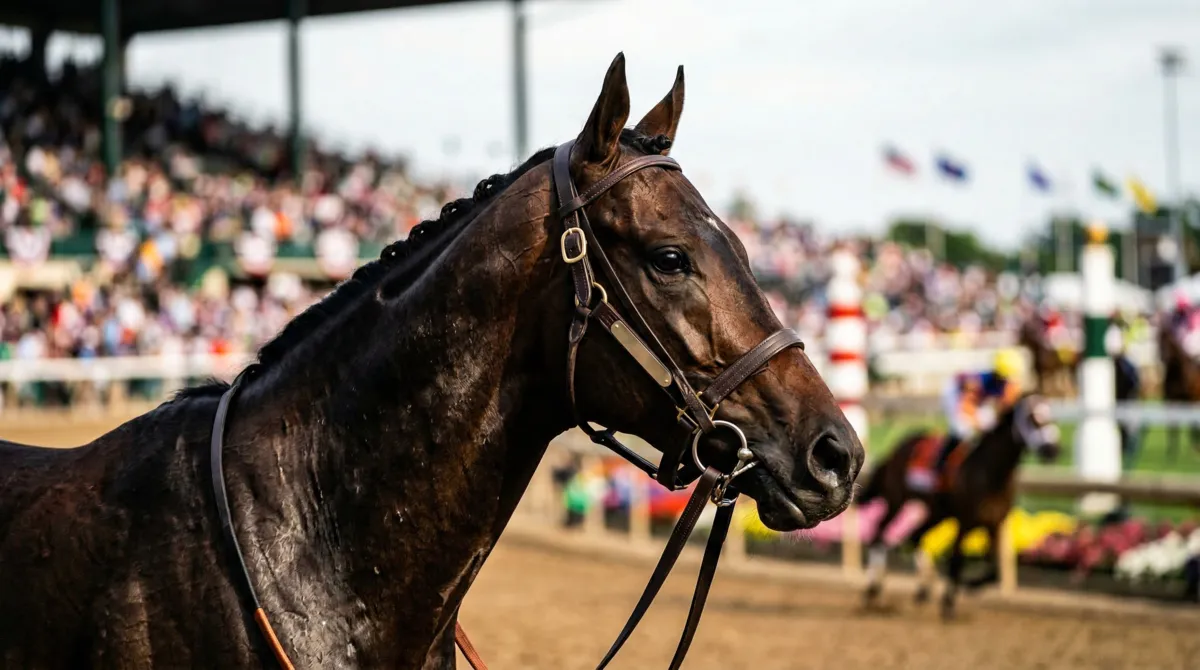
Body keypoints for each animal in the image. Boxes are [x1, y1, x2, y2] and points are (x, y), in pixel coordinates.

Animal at [857, 394, 1060, 619]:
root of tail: (895, 450)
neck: (991, 473)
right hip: (896, 500)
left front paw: (970, 584)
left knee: (915, 537)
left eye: (1051, 414)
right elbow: (956, 561)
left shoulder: (994, 524)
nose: (1053, 450)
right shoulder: (965, 521)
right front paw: (948, 602)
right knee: (880, 534)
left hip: (937, 512)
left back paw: (922, 590)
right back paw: (873, 589)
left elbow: (994, 570)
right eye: (1032, 417)